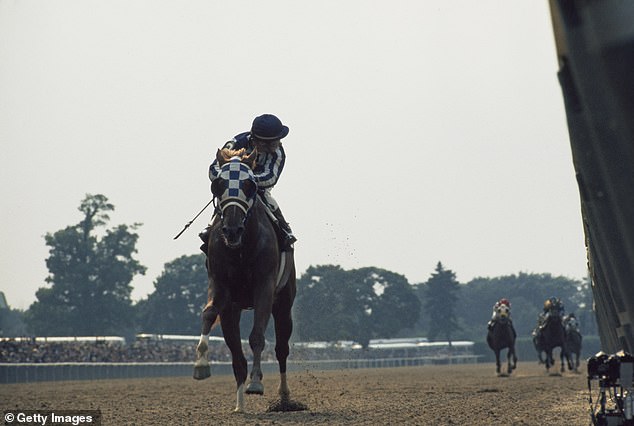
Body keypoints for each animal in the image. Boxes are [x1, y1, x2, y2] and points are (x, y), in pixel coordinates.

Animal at [193, 150, 296, 412]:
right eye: (217, 184)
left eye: (249, 185)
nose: (232, 230)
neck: (240, 249)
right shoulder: (221, 288)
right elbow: (208, 314)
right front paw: (200, 365)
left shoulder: (264, 287)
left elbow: (257, 336)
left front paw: (256, 383)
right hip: (234, 309)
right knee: (236, 356)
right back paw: (240, 405)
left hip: (284, 303)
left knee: (282, 349)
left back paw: (284, 397)